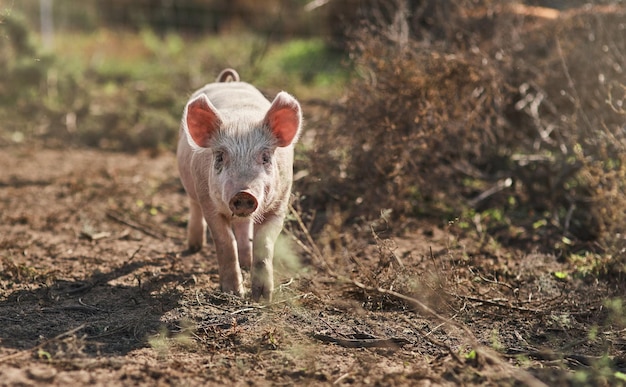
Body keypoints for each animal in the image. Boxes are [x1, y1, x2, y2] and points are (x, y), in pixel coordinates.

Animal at [176, 68, 302, 302]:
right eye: (220, 157)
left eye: (265, 157)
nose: (244, 193)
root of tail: (228, 82)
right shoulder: (209, 204)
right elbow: (226, 243)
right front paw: (234, 292)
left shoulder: (280, 204)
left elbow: (264, 245)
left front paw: (262, 298)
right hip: (191, 184)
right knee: (194, 206)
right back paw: (195, 246)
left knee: (244, 229)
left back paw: (246, 261)